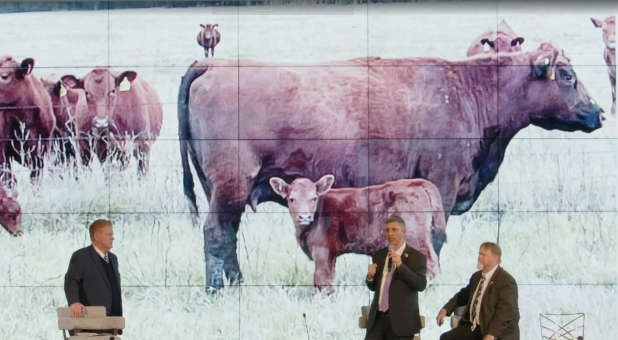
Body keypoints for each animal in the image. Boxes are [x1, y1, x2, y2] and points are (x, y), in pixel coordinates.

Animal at [268, 174, 446, 290]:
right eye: (291, 199)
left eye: (314, 198)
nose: (304, 216)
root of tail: (418, 182)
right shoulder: (331, 255)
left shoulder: (321, 251)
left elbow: (322, 279)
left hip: (415, 237)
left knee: (431, 263)